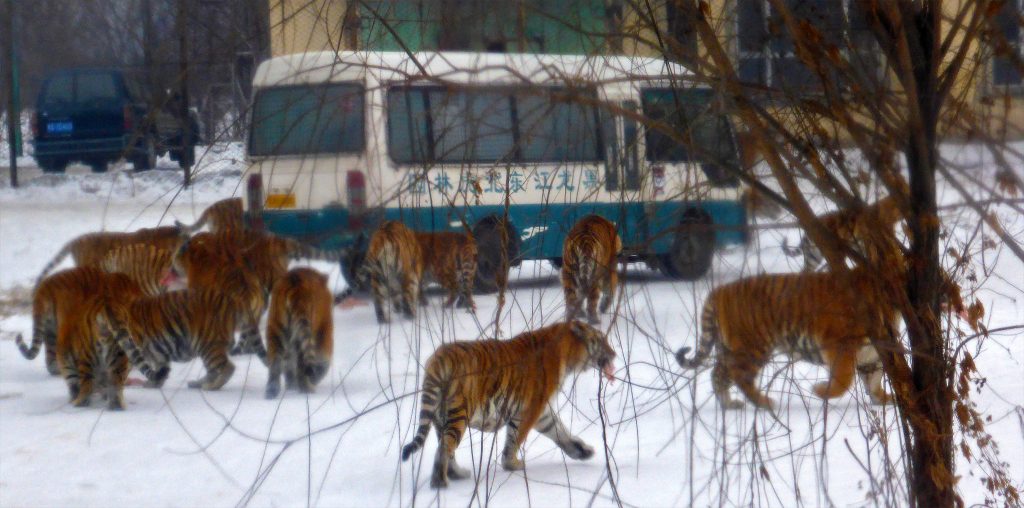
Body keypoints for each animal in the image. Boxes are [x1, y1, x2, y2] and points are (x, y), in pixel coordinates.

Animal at [264, 268, 331, 399]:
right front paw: (315, 378)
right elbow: (324, 358)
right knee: (302, 367)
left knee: (275, 364)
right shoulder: (324, 329)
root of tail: (294, 283)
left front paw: (291, 386)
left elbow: (288, 365)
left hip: (276, 330)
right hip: (303, 333)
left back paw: (272, 392)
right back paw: (308, 391)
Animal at [401, 321, 614, 487]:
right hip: (459, 414)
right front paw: (512, 464)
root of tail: (438, 358)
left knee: (444, 447)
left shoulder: (542, 412)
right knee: (445, 447)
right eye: (601, 340)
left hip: (440, 417)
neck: (567, 356)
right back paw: (440, 482)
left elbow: (559, 432)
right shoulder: (530, 409)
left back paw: (457, 475)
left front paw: (582, 451)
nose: (614, 354)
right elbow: (515, 439)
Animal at [671, 268, 897, 411]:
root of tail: (720, 290)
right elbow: (843, 380)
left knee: (717, 374)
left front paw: (884, 399)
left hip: (727, 348)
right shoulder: (840, 344)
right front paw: (820, 390)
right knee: (740, 375)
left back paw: (729, 405)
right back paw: (764, 403)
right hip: (753, 347)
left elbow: (874, 378)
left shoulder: (873, 352)